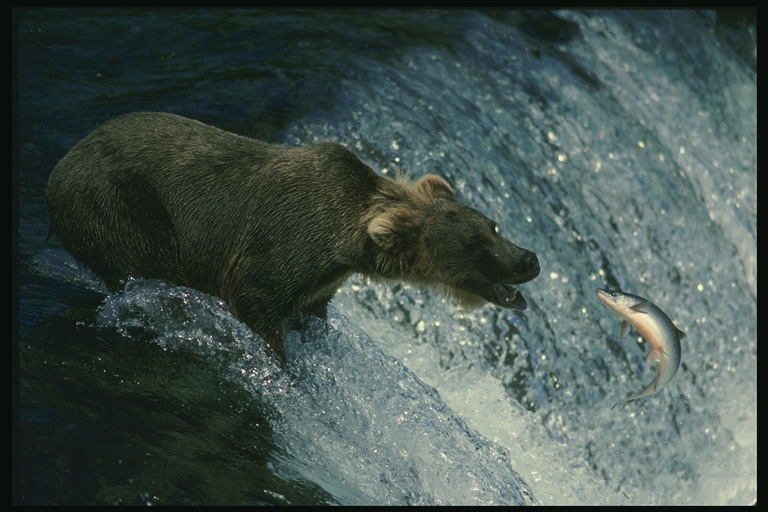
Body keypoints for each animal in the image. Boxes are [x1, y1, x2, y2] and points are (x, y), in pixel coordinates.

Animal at [46, 111, 540, 362]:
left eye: (493, 226)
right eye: (476, 246)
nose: (529, 259)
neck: (346, 244)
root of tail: (61, 165)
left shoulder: (322, 279)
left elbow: (312, 309)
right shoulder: (282, 247)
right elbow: (258, 301)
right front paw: (282, 364)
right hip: (120, 206)